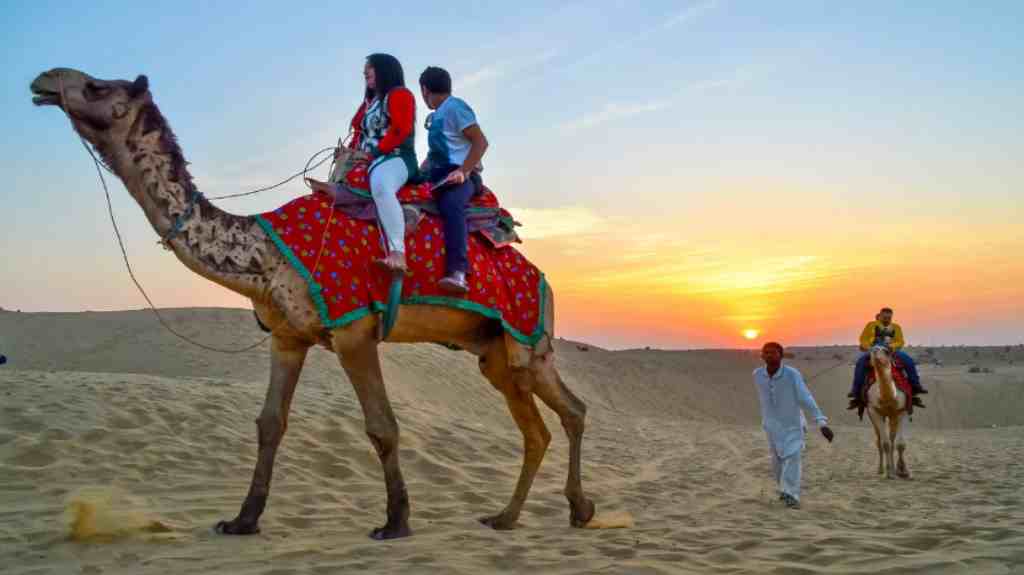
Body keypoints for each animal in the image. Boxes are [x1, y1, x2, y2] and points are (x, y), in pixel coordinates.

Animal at [28, 67, 598, 536]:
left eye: (97, 87)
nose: (45, 79)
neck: (264, 253)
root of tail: (542, 277)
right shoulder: (287, 336)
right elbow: (269, 424)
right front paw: (242, 520)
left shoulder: (353, 329)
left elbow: (383, 426)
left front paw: (396, 522)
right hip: (495, 352)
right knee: (542, 426)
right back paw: (513, 516)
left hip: (527, 336)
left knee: (568, 411)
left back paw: (573, 509)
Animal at [864, 343, 913, 478]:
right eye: (871, 350)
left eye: (886, 351)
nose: (875, 351)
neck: (888, 398)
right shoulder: (875, 411)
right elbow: (884, 444)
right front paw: (889, 472)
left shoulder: (901, 411)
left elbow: (900, 444)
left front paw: (903, 470)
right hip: (873, 416)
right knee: (879, 441)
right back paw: (881, 469)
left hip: (893, 417)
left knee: (892, 438)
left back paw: (894, 469)